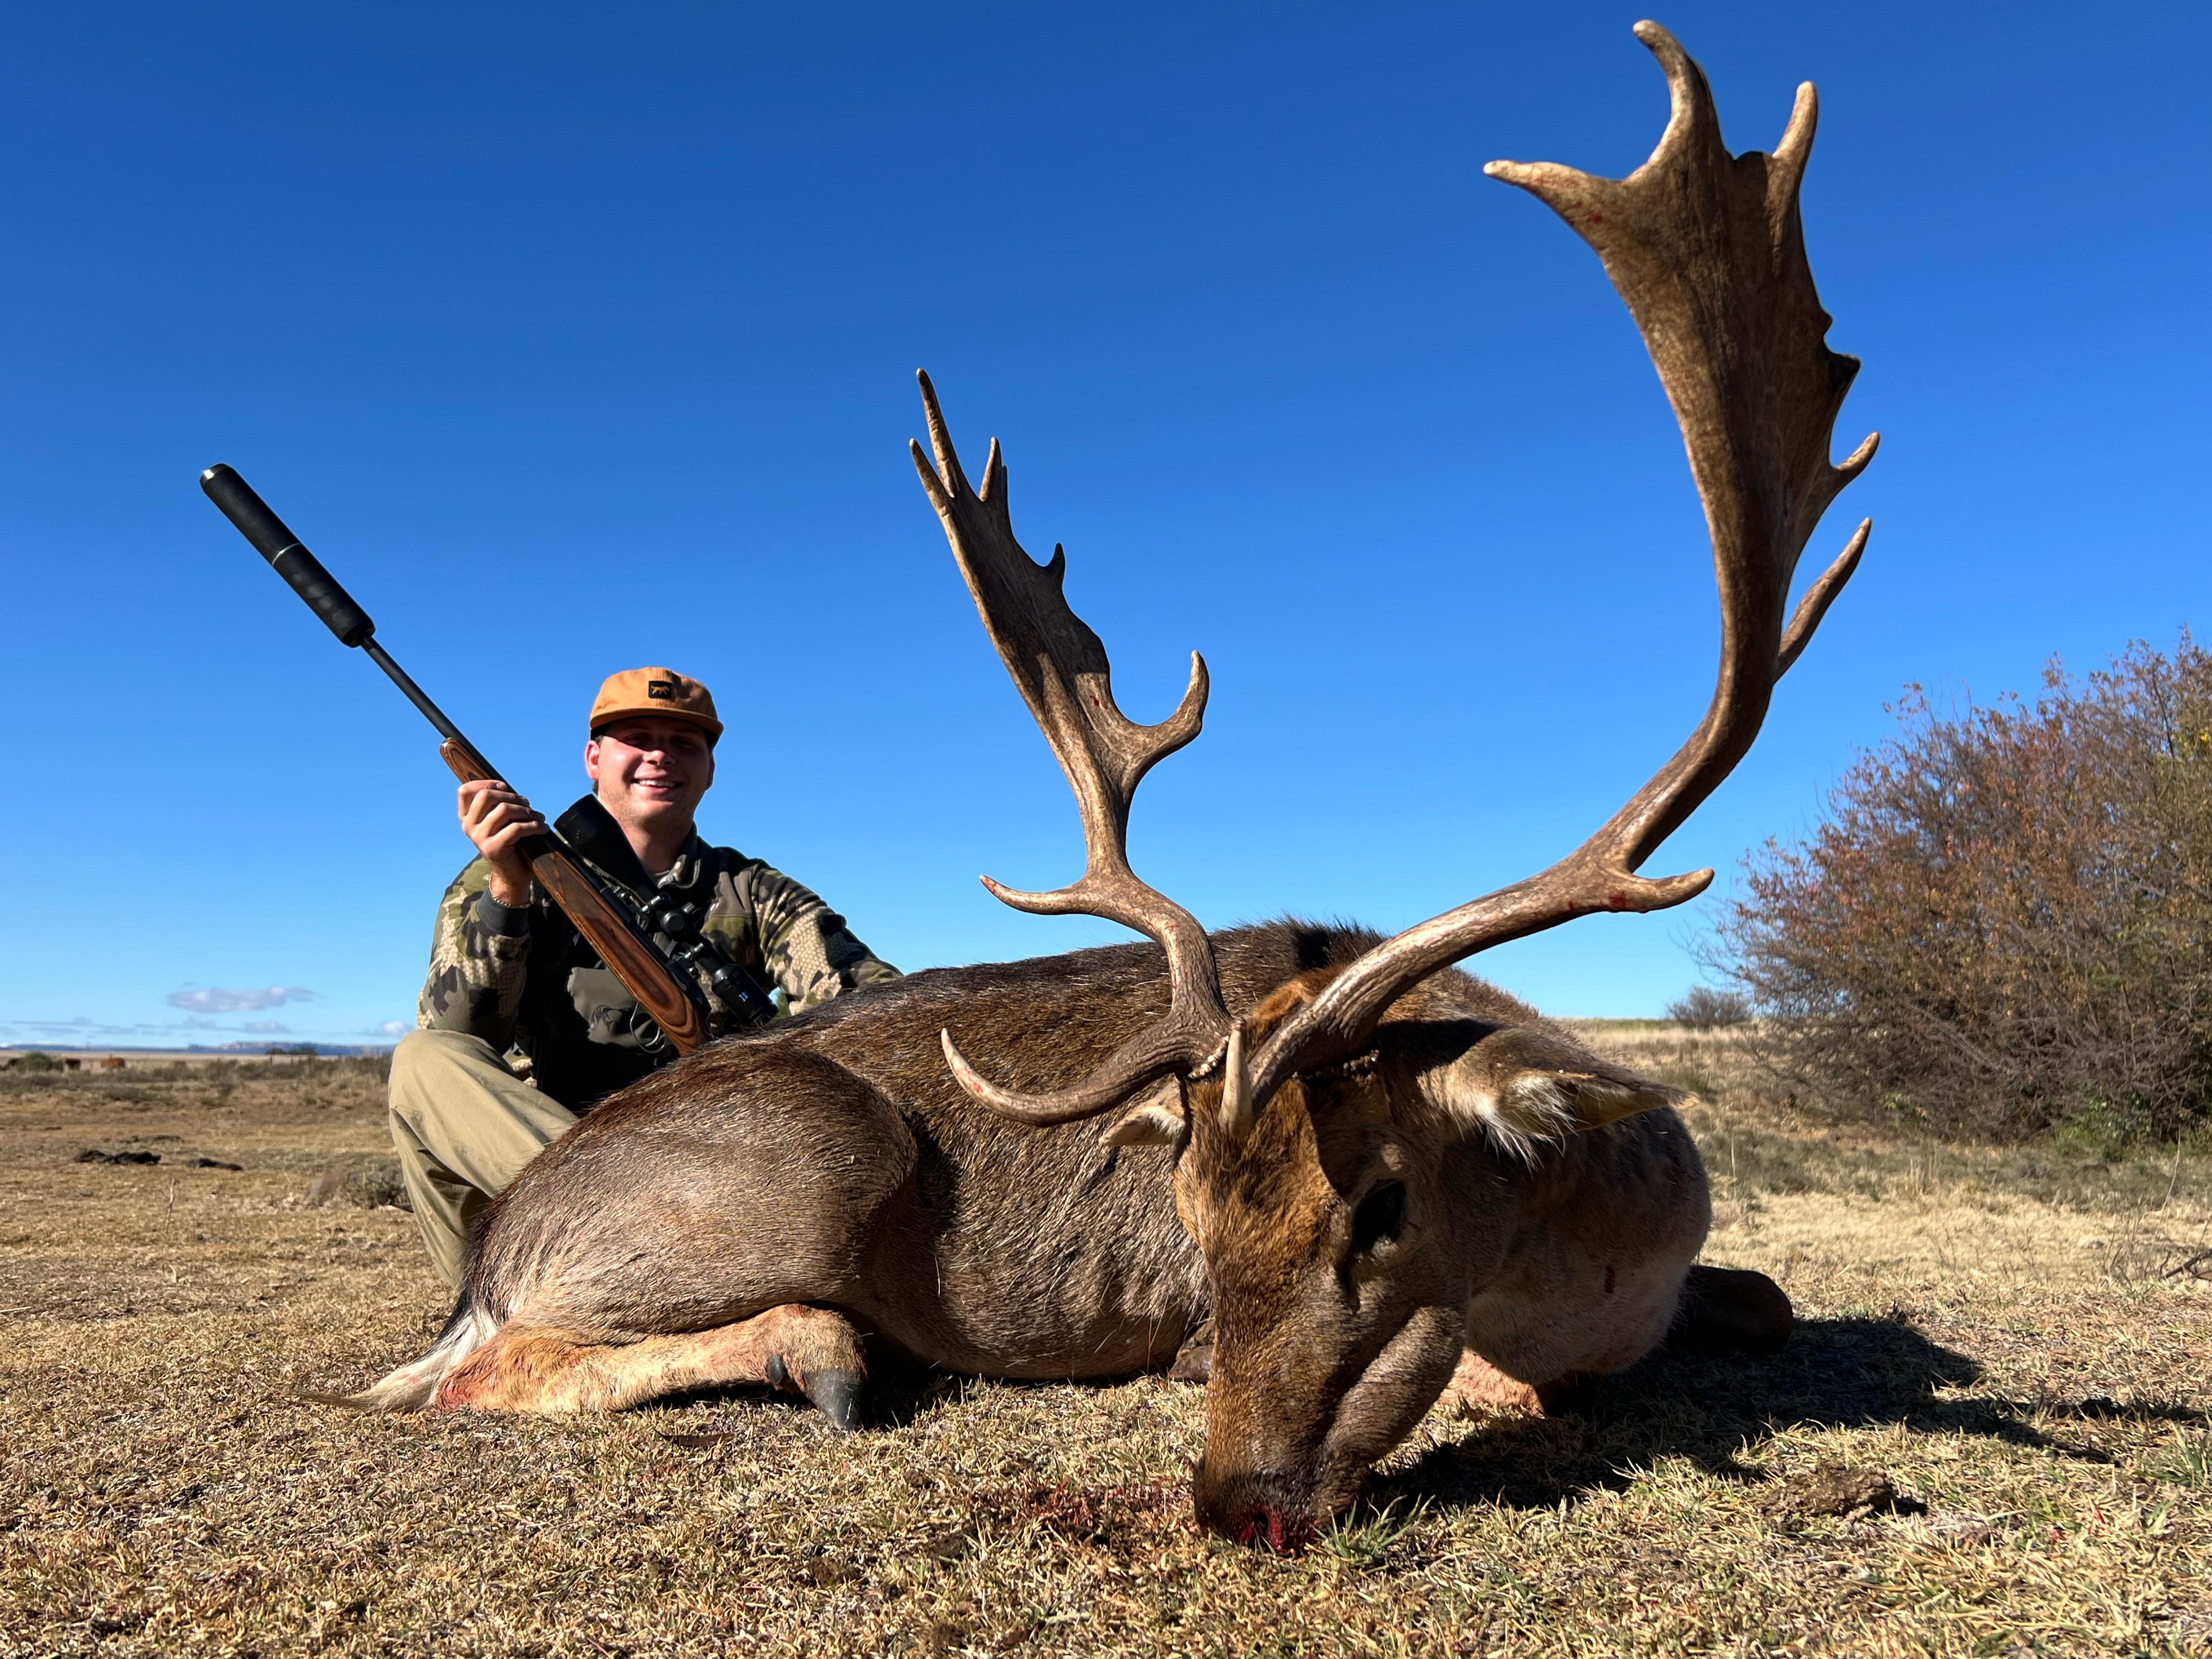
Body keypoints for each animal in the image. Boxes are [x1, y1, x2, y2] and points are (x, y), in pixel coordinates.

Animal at [353, 22, 1873, 1550]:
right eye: (1188, 1214)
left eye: (1383, 1203)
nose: (1238, 1497)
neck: (1600, 1265)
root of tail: (490, 1249)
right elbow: (1518, 1381)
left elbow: (1768, 1299)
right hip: (815, 1153)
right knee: (468, 1374)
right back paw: (825, 1349)